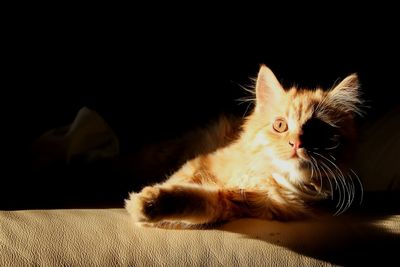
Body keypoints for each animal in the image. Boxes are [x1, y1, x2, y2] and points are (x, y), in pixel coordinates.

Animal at [124, 65, 362, 228]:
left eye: (318, 131)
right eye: (280, 125)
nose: (296, 143)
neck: (267, 177)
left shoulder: (234, 203)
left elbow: (195, 199)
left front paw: (149, 205)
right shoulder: (202, 162)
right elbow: (179, 180)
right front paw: (144, 201)